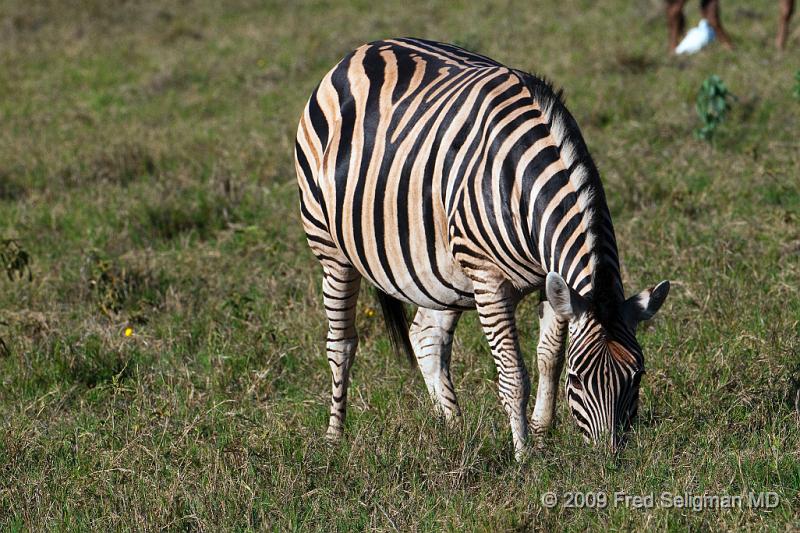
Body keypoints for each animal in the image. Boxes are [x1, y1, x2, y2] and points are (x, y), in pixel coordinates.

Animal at [294, 37, 668, 458]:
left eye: (637, 375)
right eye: (578, 379)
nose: (610, 459)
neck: (522, 181)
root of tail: (362, 50)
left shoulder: (552, 277)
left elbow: (547, 357)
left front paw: (541, 431)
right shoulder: (489, 279)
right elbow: (514, 375)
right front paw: (525, 456)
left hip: (437, 269)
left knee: (426, 336)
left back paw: (455, 431)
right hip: (331, 250)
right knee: (341, 345)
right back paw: (335, 438)